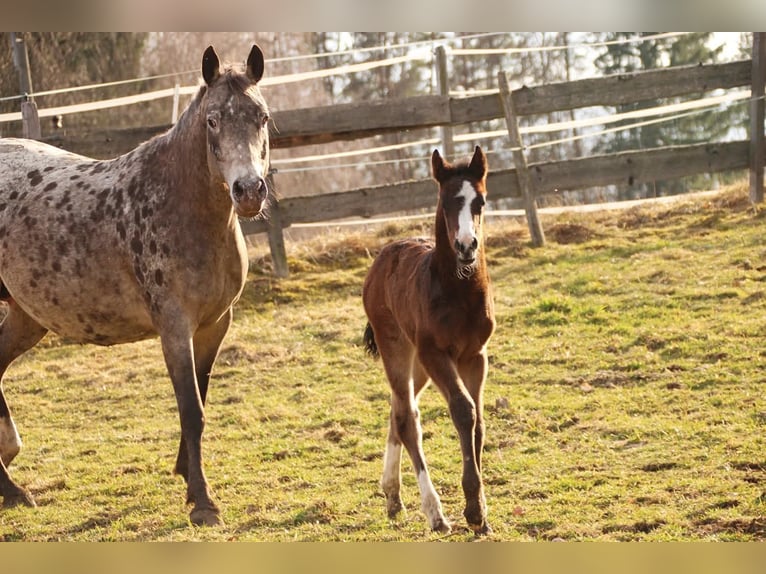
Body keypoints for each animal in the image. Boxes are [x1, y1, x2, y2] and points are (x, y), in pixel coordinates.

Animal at [0, 45, 271, 527]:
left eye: (261, 116)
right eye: (212, 120)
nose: (249, 191)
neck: (181, 206)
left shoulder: (215, 324)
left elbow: (200, 399)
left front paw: (187, 477)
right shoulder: (174, 327)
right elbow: (191, 410)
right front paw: (204, 503)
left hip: (27, 317)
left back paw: (10, 488)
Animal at [362, 145, 496, 535]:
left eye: (480, 201)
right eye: (446, 202)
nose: (466, 246)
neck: (460, 291)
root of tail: (382, 258)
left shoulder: (474, 356)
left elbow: (478, 420)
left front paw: (482, 513)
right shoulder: (438, 354)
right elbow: (464, 411)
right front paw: (473, 510)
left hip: (417, 362)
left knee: (398, 409)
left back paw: (393, 496)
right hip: (397, 347)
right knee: (407, 418)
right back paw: (435, 513)